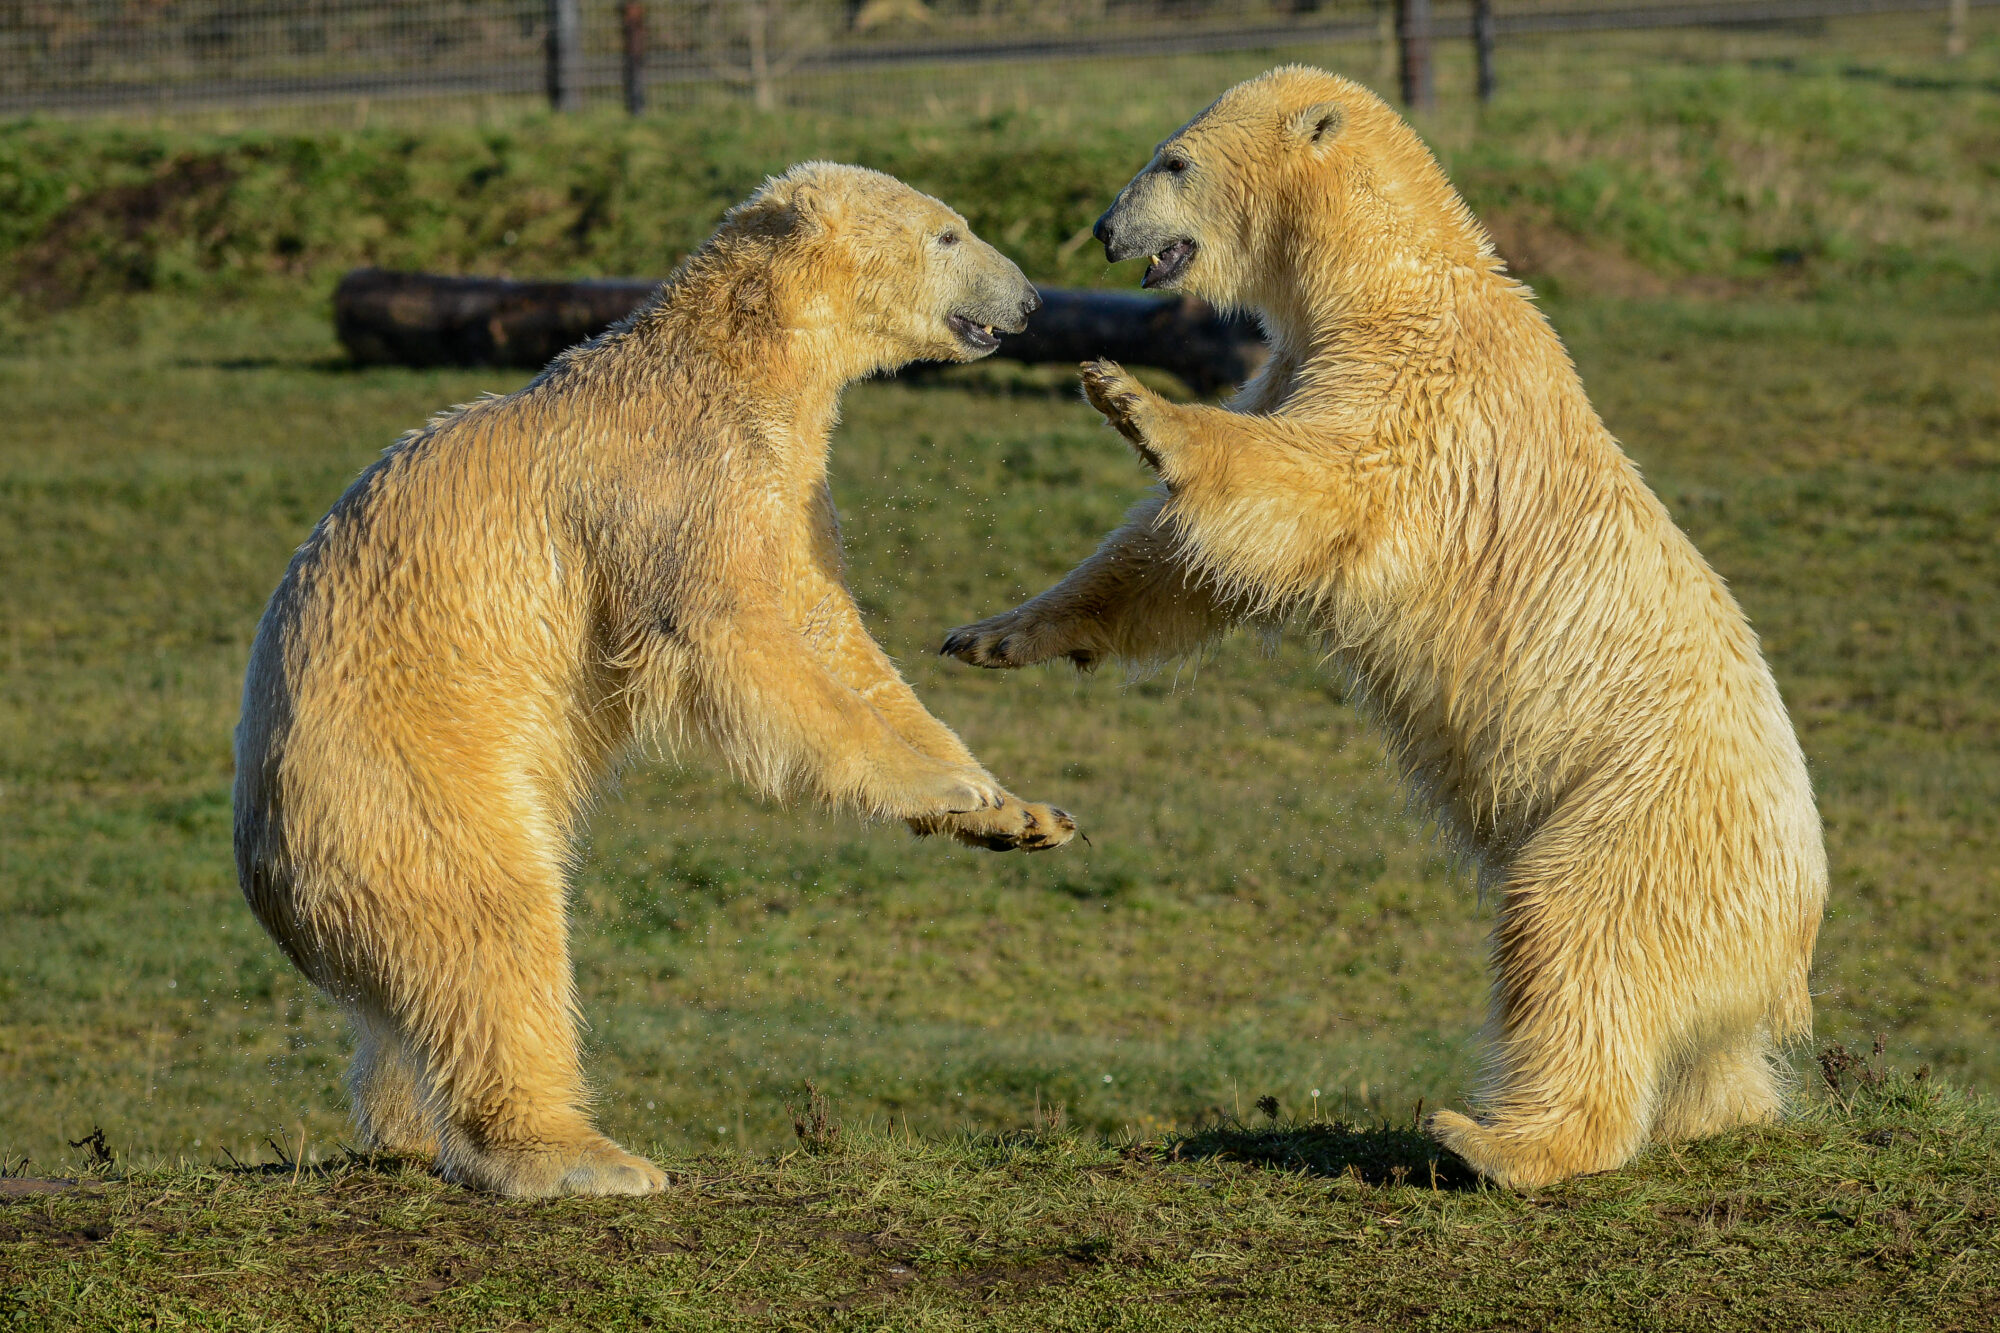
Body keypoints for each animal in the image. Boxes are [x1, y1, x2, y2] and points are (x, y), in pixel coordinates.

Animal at [234, 163, 1075, 1198]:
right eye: (949, 233)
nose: (1032, 300)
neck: (725, 364)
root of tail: (265, 862)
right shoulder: (674, 482)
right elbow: (736, 641)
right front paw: (948, 786)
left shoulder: (784, 496)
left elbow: (837, 637)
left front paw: (1015, 810)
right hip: (410, 781)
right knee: (494, 931)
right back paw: (581, 1154)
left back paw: (405, 1128)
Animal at [943, 68, 1826, 1189]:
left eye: (1171, 160)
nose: (1102, 229)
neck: (1394, 277)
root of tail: (1794, 931)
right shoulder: (1304, 362)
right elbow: (1182, 563)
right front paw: (995, 633)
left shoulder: (1416, 390)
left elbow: (1309, 488)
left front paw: (1131, 398)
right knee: (1699, 1039)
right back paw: (1710, 1114)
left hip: (1640, 820)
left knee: (1574, 937)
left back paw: (1493, 1140)